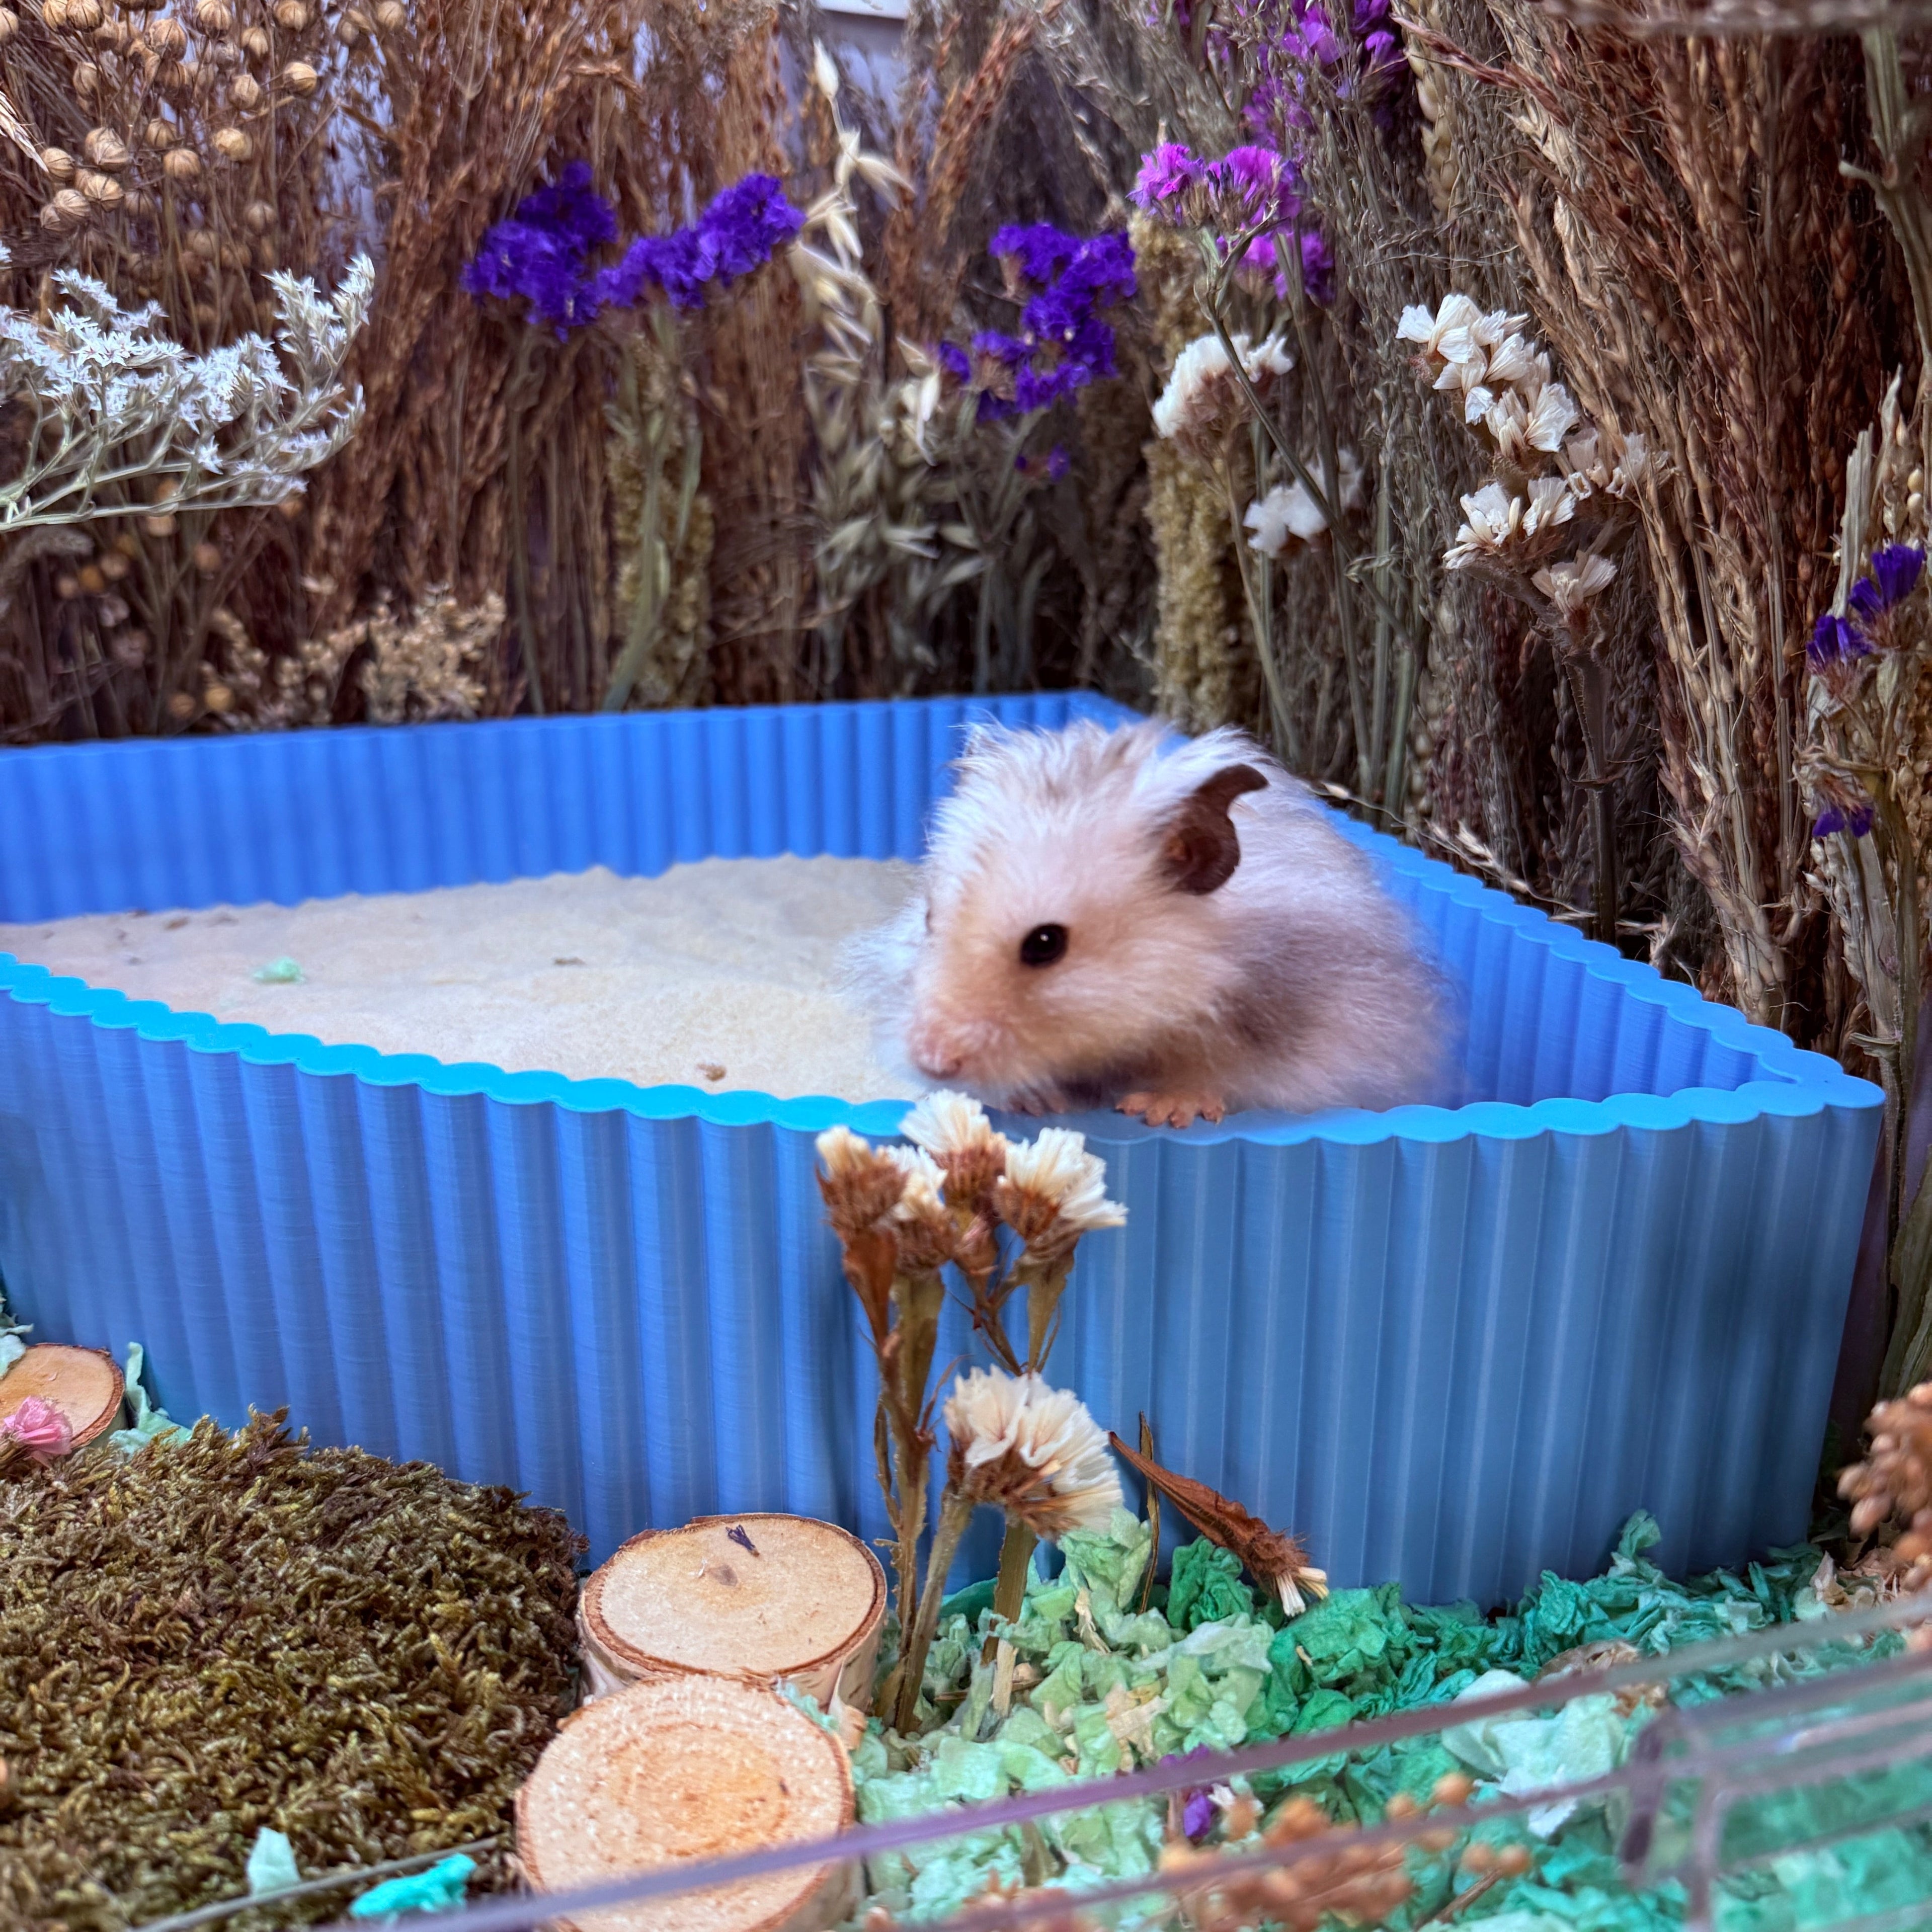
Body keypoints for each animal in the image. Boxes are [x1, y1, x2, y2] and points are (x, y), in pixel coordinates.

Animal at [850, 717, 1453, 1126]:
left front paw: (1158, 1111)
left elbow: (1218, 1072)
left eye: (1046, 944)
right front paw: (1035, 1102)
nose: (930, 1061)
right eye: (930, 919)